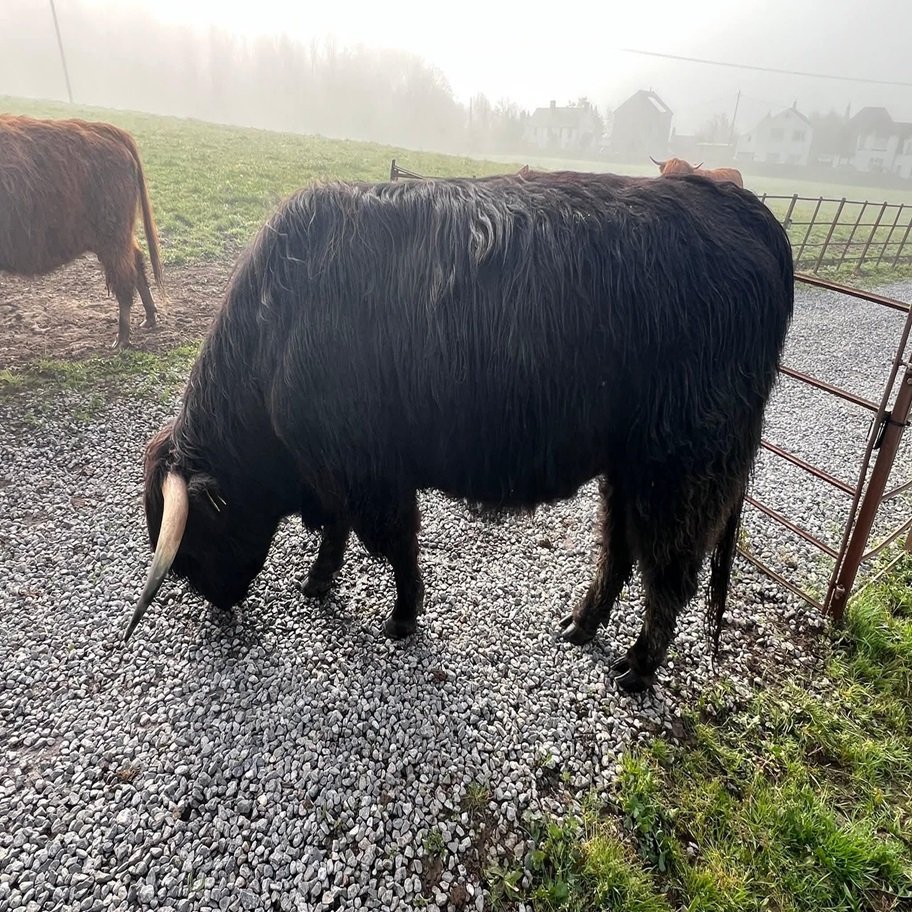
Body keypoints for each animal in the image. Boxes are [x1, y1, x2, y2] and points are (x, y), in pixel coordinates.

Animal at [0, 114, 164, 348]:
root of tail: (103, 129)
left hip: (112, 236)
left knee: (124, 278)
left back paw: (122, 339)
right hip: (119, 235)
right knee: (136, 262)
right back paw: (149, 318)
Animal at [124, 170, 793, 692]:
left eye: (195, 538)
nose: (218, 601)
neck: (277, 326)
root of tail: (739, 205)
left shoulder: (367, 467)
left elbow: (394, 540)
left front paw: (401, 616)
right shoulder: (336, 465)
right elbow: (341, 527)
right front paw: (317, 582)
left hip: (682, 466)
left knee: (669, 570)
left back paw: (638, 667)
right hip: (630, 466)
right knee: (621, 547)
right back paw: (581, 625)